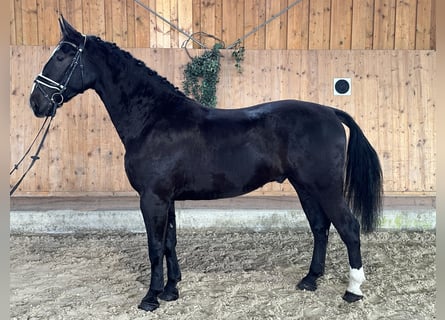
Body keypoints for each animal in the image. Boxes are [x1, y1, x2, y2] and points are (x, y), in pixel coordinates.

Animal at [29, 16, 382, 312]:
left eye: (61, 56)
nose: (36, 102)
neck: (153, 119)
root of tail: (330, 112)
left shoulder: (152, 197)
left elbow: (154, 245)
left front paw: (150, 298)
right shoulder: (165, 198)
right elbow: (169, 241)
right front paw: (171, 290)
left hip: (325, 187)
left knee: (349, 228)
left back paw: (353, 290)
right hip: (305, 187)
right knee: (320, 228)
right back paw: (310, 280)